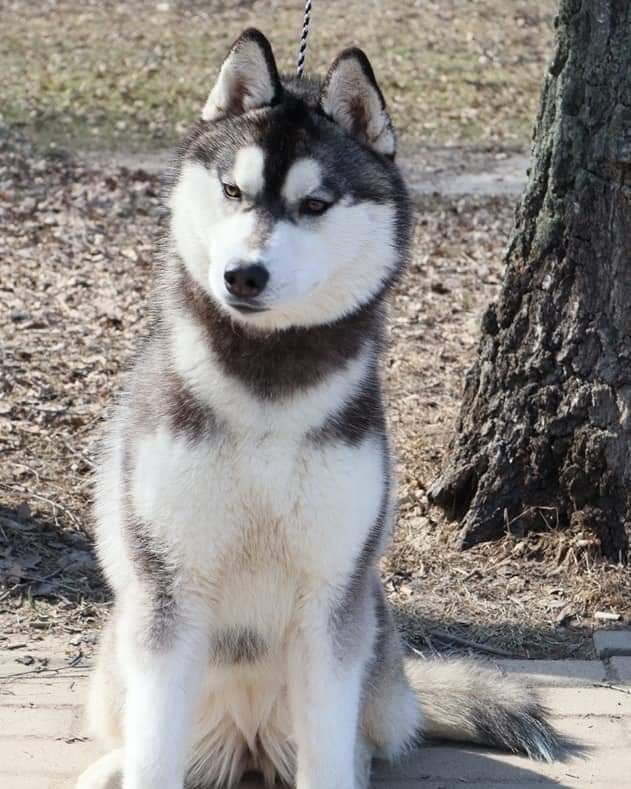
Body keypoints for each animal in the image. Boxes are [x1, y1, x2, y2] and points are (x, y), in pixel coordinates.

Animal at [76, 29, 559, 789]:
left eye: (314, 205)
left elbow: (328, 744)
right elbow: (155, 750)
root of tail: (243, 742)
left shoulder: (332, 595)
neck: (267, 386)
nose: (242, 275)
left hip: (371, 642)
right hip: (122, 644)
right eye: (232, 190)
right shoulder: (168, 589)